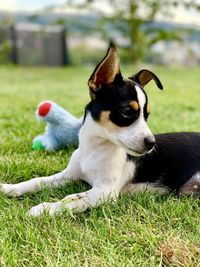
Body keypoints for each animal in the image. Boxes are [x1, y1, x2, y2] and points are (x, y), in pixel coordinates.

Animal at [0, 43, 200, 216]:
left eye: (147, 115)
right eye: (127, 112)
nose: (151, 143)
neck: (94, 149)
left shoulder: (104, 191)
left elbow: (71, 199)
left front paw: (45, 208)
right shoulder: (68, 175)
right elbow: (38, 181)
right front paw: (10, 188)